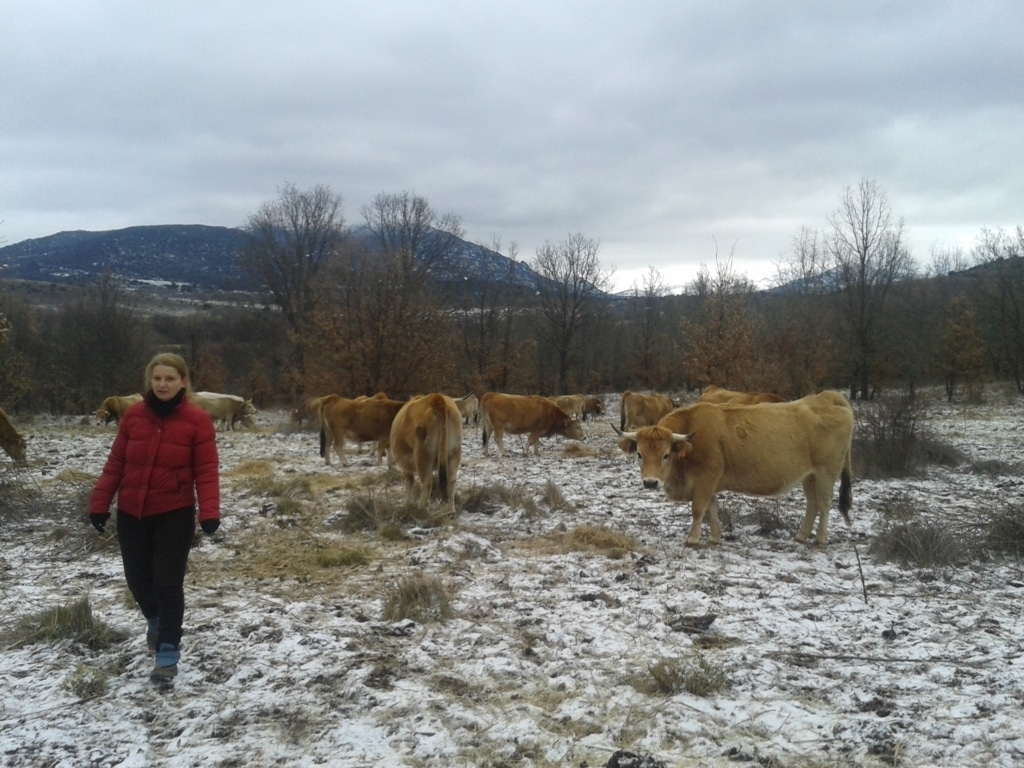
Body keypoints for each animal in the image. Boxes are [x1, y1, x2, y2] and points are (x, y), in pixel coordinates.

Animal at [618, 393, 851, 548]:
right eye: (640, 454)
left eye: (666, 455)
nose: (650, 482)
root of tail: (828, 397)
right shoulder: (707, 483)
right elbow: (711, 510)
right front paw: (715, 537)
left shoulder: (706, 478)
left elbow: (699, 509)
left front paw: (692, 539)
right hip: (809, 476)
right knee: (812, 503)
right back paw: (801, 536)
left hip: (826, 473)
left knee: (824, 504)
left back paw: (821, 538)